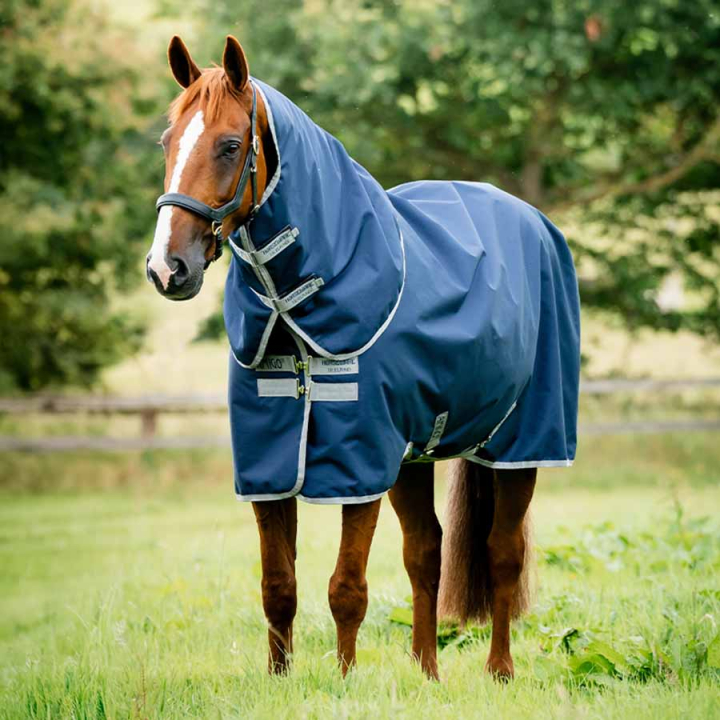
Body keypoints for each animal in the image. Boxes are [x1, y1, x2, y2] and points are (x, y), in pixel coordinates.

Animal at [146, 34, 580, 681]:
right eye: (168, 142)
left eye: (229, 145)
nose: (167, 268)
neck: (295, 307)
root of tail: (533, 220)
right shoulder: (272, 460)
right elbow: (279, 585)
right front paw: (280, 680)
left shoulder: (360, 459)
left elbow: (346, 587)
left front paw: (345, 681)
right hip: (414, 454)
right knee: (426, 550)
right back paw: (426, 671)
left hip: (521, 441)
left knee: (503, 551)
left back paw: (500, 670)